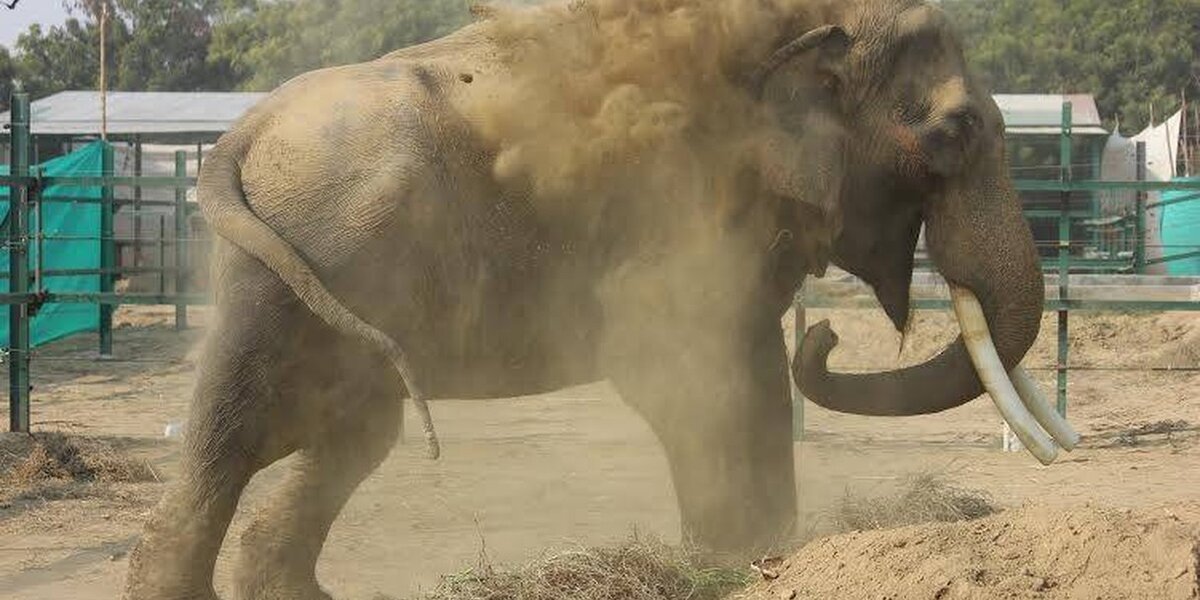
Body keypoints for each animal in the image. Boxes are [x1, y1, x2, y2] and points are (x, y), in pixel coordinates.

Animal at [124, 1, 1074, 598]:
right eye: (954, 131)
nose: (830, 336)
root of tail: (239, 136)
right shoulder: (675, 216)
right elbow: (706, 374)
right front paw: (743, 559)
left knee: (339, 437)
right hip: (297, 269)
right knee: (239, 436)